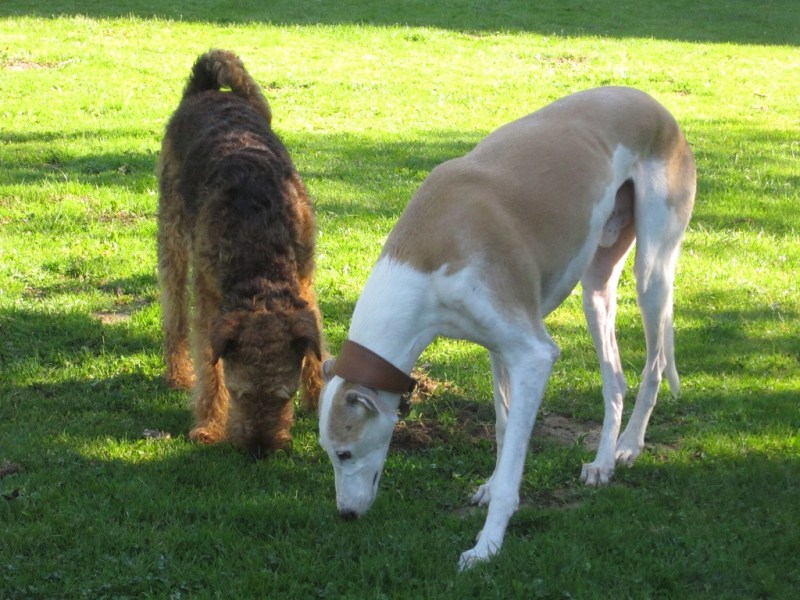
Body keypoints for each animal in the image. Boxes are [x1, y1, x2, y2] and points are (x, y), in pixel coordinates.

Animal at [158, 49, 324, 457]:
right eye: (239, 393)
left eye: (285, 396)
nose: (260, 450)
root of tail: (206, 90)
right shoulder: (210, 302)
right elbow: (209, 367)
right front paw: (208, 427)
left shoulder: (305, 278)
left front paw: (319, 399)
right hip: (172, 237)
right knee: (175, 315)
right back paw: (177, 374)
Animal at [318, 86, 695, 569]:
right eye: (329, 453)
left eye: (344, 452)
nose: (346, 514)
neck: (426, 254)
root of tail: (651, 102)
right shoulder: (497, 347)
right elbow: (502, 425)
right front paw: (491, 484)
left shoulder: (533, 354)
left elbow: (515, 450)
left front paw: (486, 545)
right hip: (596, 286)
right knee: (615, 378)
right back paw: (603, 463)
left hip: (652, 271)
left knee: (653, 364)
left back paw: (629, 445)